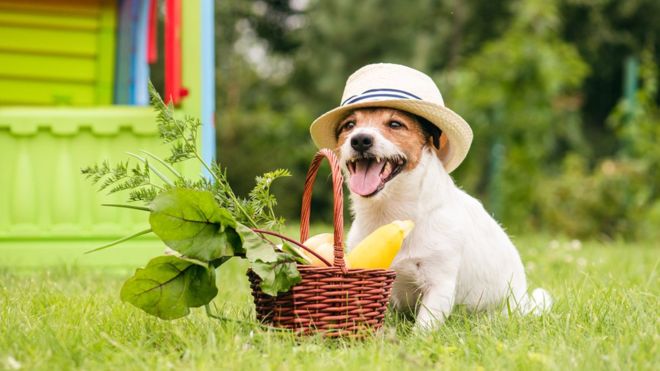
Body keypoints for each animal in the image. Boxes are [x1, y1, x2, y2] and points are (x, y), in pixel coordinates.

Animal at [310, 62, 552, 330]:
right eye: (349, 126)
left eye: (395, 125)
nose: (360, 140)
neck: (392, 212)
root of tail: (523, 303)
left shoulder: (440, 285)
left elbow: (423, 327)